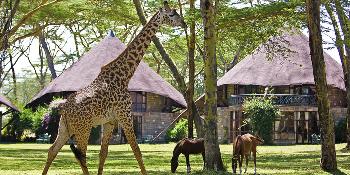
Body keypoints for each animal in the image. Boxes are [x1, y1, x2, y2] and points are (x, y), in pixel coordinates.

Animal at [41, 1, 186, 175]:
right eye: (171, 14)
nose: (184, 23)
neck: (124, 75)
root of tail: (64, 108)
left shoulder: (110, 121)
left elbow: (103, 153)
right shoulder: (125, 115)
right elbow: (136, 150)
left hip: (65, 127)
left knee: (52, 150)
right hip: (83, 128)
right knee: (81, 155)